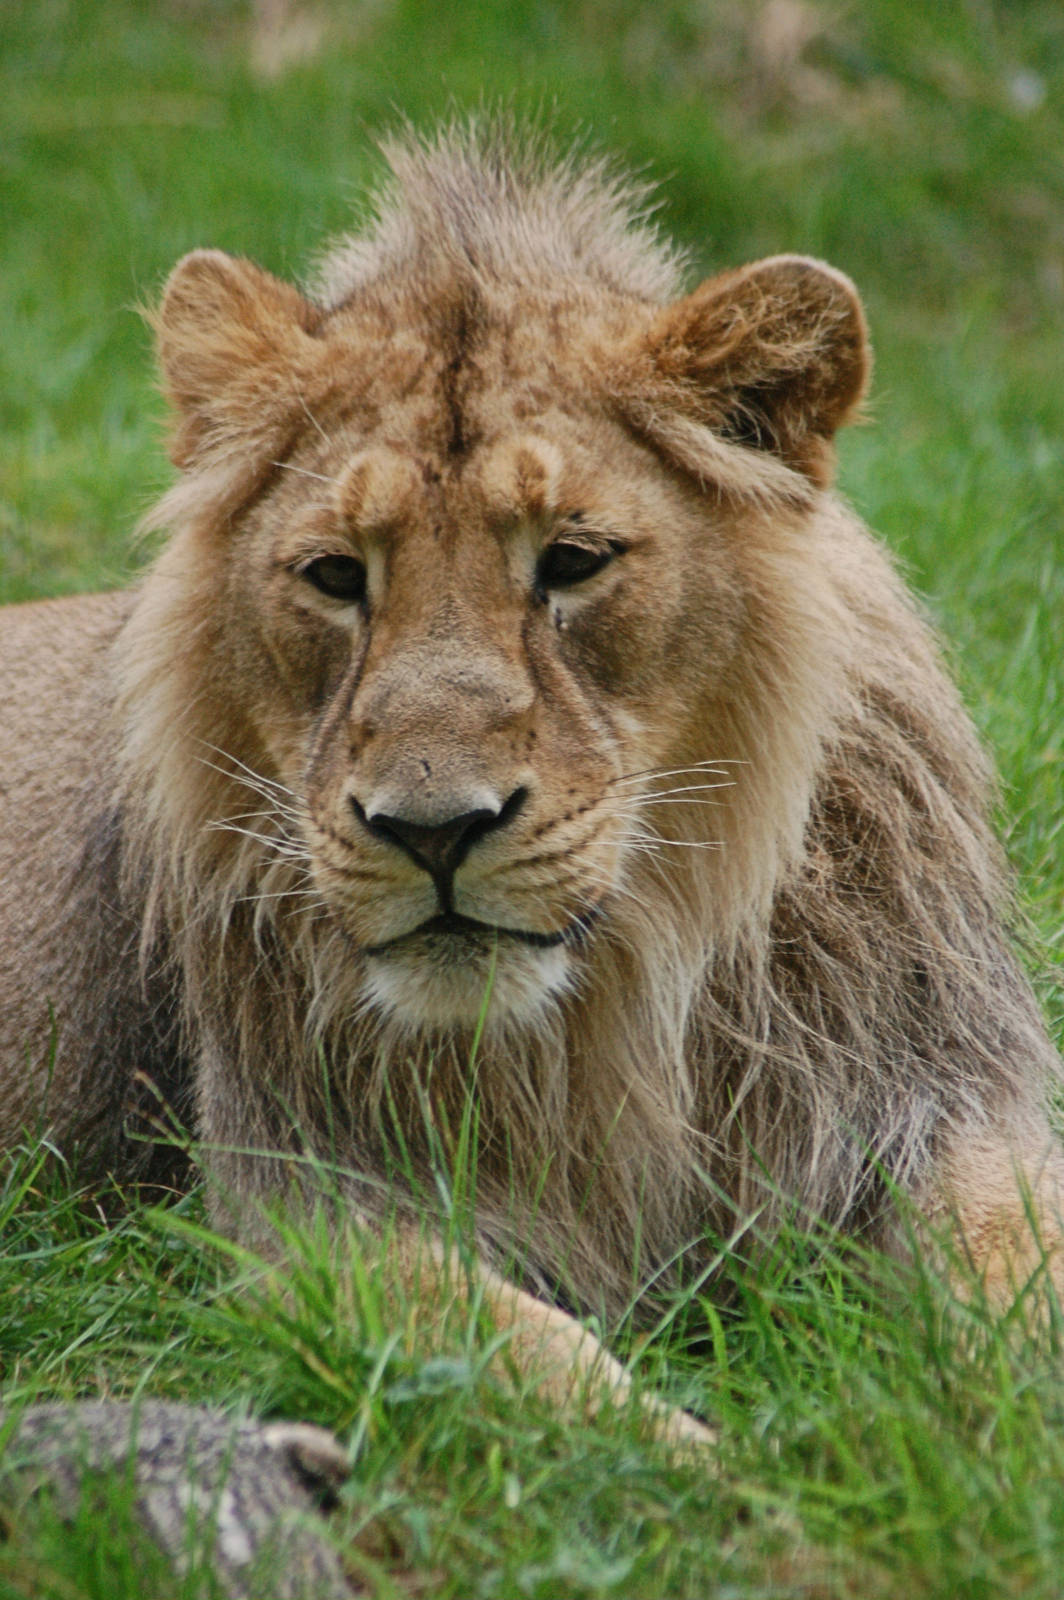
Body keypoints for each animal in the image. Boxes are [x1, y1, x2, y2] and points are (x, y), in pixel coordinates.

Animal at [1, 123, 1061, 1441]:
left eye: (572, 560)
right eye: (334, 576)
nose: (431, 831)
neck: (602, 1013)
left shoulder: (938, 1094)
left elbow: (1016, 1271)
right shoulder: (305, 1212)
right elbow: (535, 1369)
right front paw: (721, 1466)